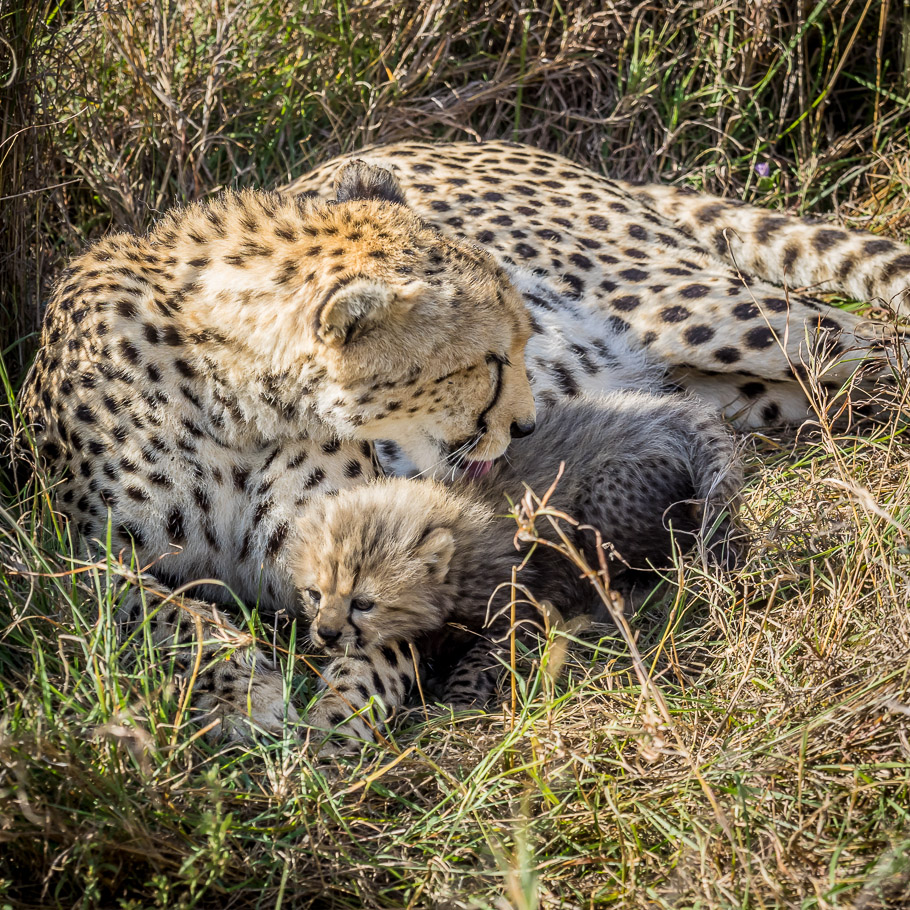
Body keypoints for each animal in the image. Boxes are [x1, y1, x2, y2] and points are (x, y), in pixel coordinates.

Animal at [15, 159, 537, 741]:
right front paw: (248, 694)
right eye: (490, 360)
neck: (240, 398)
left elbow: (377, 645)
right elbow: (170, 613)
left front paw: (338, 719)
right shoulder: (78, 559)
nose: (526, 426)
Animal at [291, 391, 742, 749]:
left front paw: (457, 703)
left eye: (364, 603)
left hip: (606, 502)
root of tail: (666, 409)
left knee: (676, 545)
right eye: (315, 594)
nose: (326, 634)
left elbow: (484, 656)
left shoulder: (519, 605)